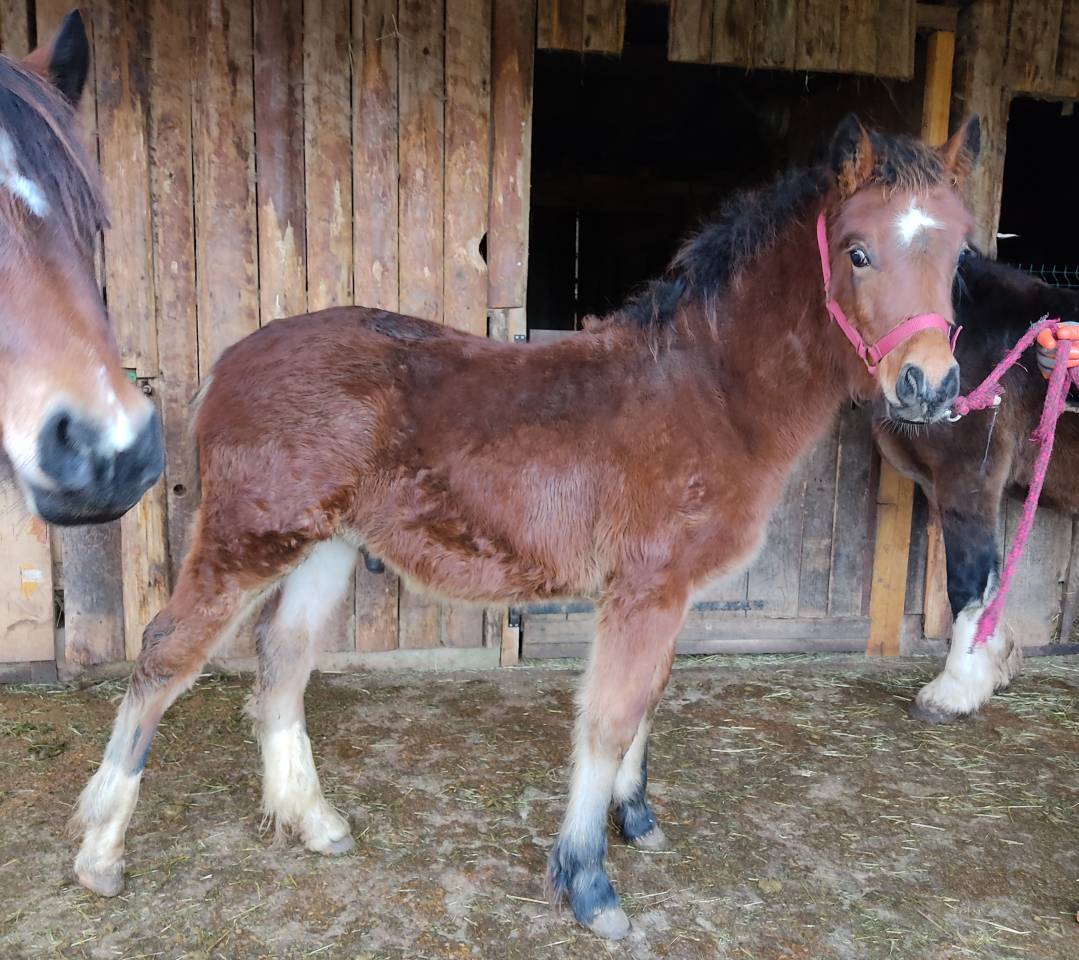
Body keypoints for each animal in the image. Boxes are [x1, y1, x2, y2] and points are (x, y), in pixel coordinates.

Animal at [72, 115, 981, 939]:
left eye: (959, 257)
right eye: (858, 252)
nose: (928, 385)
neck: (707, 392)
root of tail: (228, 363)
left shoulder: (672, 594)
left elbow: (647, 700)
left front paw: (634, 818)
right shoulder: (644, 589)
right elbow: (608, 719)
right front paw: (587, 883)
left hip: (324, 546)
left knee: (284, 661)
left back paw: (313, 820)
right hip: (247, 541)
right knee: (165, 656)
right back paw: (100, 852)